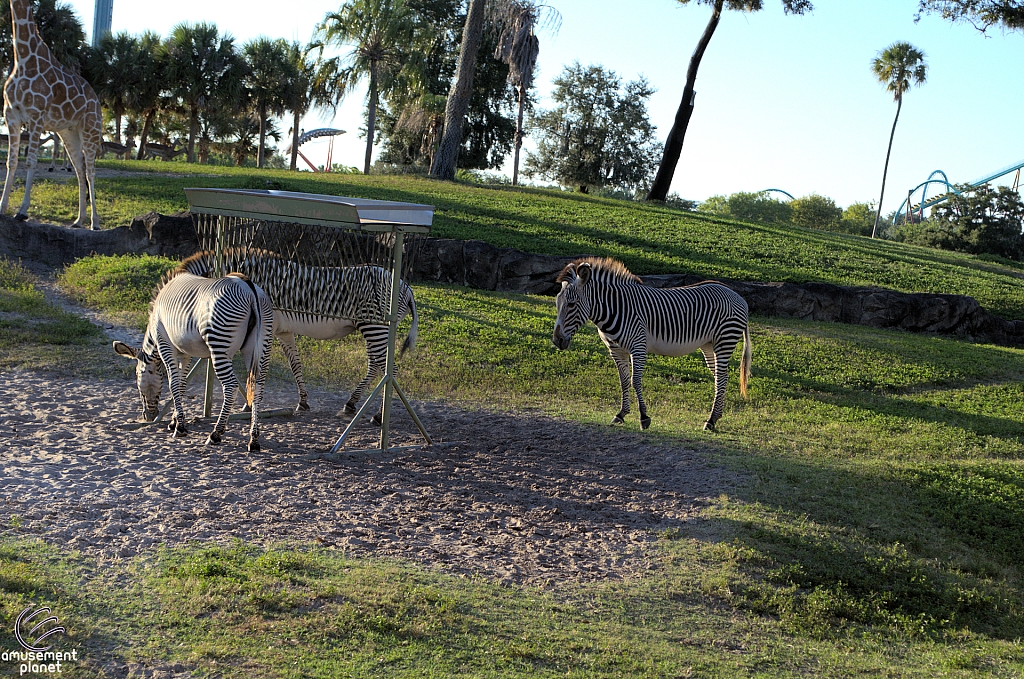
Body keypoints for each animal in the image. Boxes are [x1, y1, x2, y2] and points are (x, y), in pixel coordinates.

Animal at [0, 0, 100, 229]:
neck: (22, 57)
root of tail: (97, 100)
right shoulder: (11, 114)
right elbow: (11, 161)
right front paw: (1, 208)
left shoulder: (36, 116)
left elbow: (31, 161)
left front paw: (22, 211)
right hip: (68, 133)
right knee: (80, 169)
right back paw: (78, 220)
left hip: (91, 129)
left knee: (91, 171)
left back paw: (95, 223)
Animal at [112, 266, 274, 450]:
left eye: (138, 375)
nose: (149, 416)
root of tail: (248, 287)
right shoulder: (185, 352)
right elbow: (182, 384)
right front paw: (175, 421)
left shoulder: (165, 344)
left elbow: (173, 384)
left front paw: (180, 428)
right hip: (260, 347)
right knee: (258, 388)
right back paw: (253, 439)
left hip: (220, 344)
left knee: (231, 386)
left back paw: (215, 434)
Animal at [178, 249, 417, 419]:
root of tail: (407, 288)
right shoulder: (283, 331)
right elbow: (295, 364)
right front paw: (302, 401)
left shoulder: (266, 329)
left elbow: (259, 366)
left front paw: (250, 404)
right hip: (374, 329)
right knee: (375, 365)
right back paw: (351, 404)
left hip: (374, 327)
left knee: (388, 368)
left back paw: (378, 416)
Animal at [552, 258, 753, 432]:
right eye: (557, 303)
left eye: (571, 304)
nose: (556, 340)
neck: (615, 309)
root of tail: (738, 296)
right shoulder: (616, 350)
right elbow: (623, 381)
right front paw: (621, 414)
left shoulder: (638, 347)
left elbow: (635, 381)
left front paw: (644, 418)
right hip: (709, 345)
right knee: (721, 377)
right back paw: (715, 418)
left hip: (724, 340)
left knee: (722, 378)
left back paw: (711, 420)